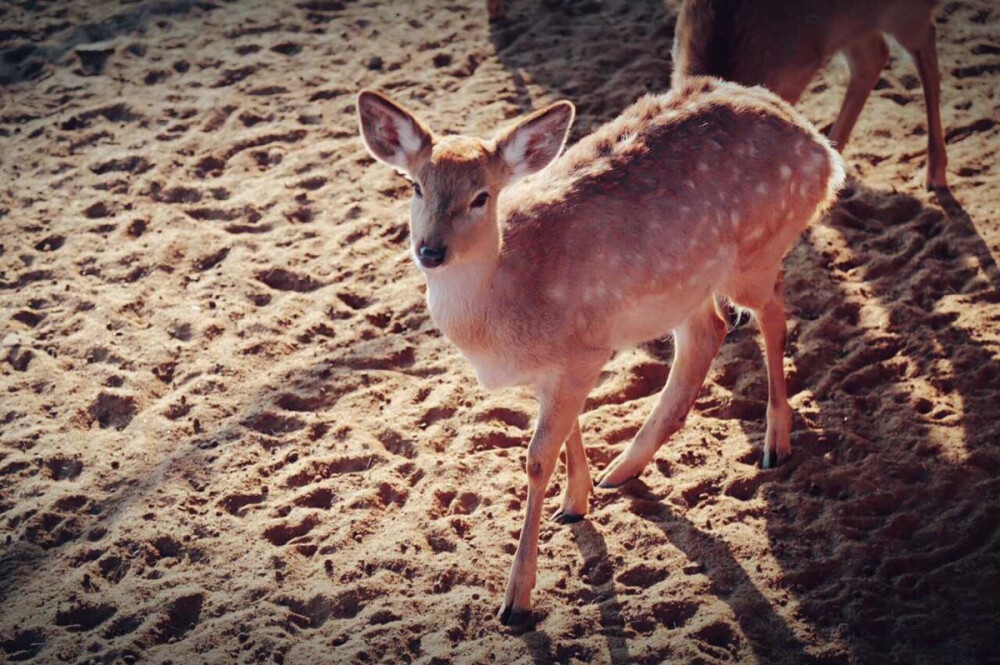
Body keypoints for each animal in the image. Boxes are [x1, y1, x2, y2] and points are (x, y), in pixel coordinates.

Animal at [358, 78, 844, 624]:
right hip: (687, 283)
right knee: (709, 332)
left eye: (481, 197)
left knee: (774, 314)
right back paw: (623, 469)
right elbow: (566, 429)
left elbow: (536, 458)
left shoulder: (583, 353)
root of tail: (823, 151)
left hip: (756, 252)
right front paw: (577, 501)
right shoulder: (562, 363)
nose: (430, 250)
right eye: (416, 187)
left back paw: (775, 443)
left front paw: (517, 599)